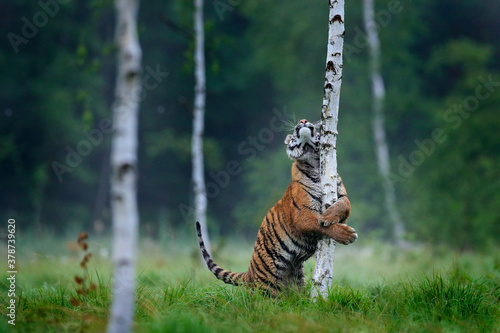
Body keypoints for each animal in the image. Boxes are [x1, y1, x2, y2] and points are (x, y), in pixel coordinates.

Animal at [195, 118, 356, 294]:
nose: (303, 120)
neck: (314, 164)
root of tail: (249, 272)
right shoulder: (302, 217)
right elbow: (319, 225)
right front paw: (346, 234)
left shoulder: (341, 195)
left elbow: (345, 204)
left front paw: (328, 216)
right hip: (267, 290)